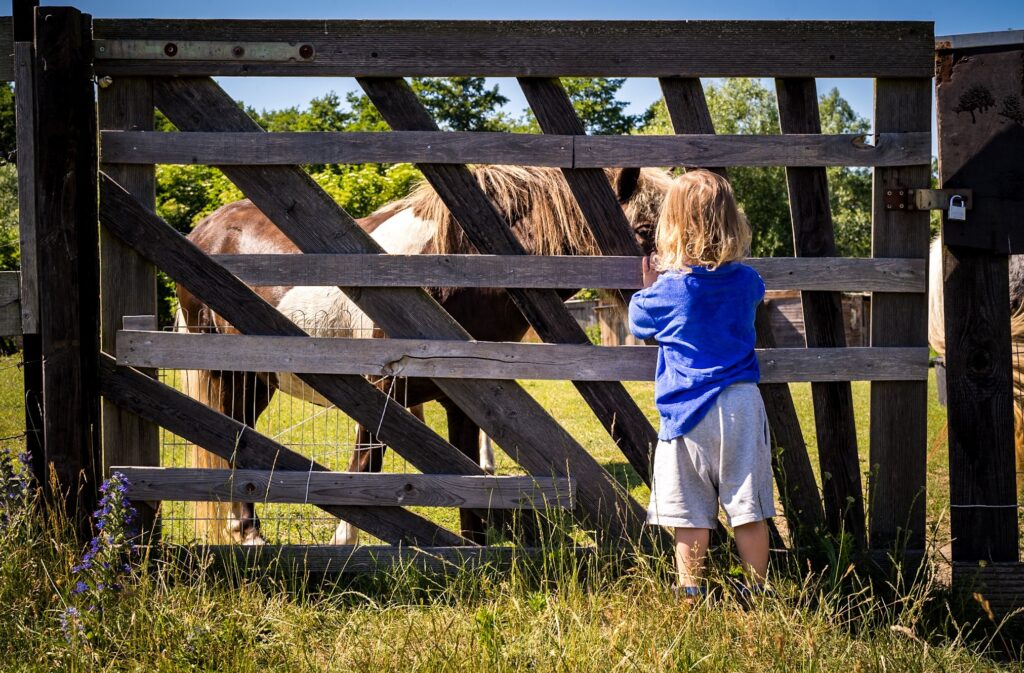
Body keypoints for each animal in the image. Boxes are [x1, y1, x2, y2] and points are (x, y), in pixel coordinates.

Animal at [177, 165, 673, 545]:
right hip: (231, 374)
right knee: (233, 441)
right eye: (643, 230)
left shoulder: (474, 396)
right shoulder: (382, 391)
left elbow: (470, 474)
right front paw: (344, 542)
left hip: (258, 381)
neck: (451, 272)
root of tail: (204, 228)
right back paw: (250, 534)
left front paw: (476, 551)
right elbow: (367, 464)